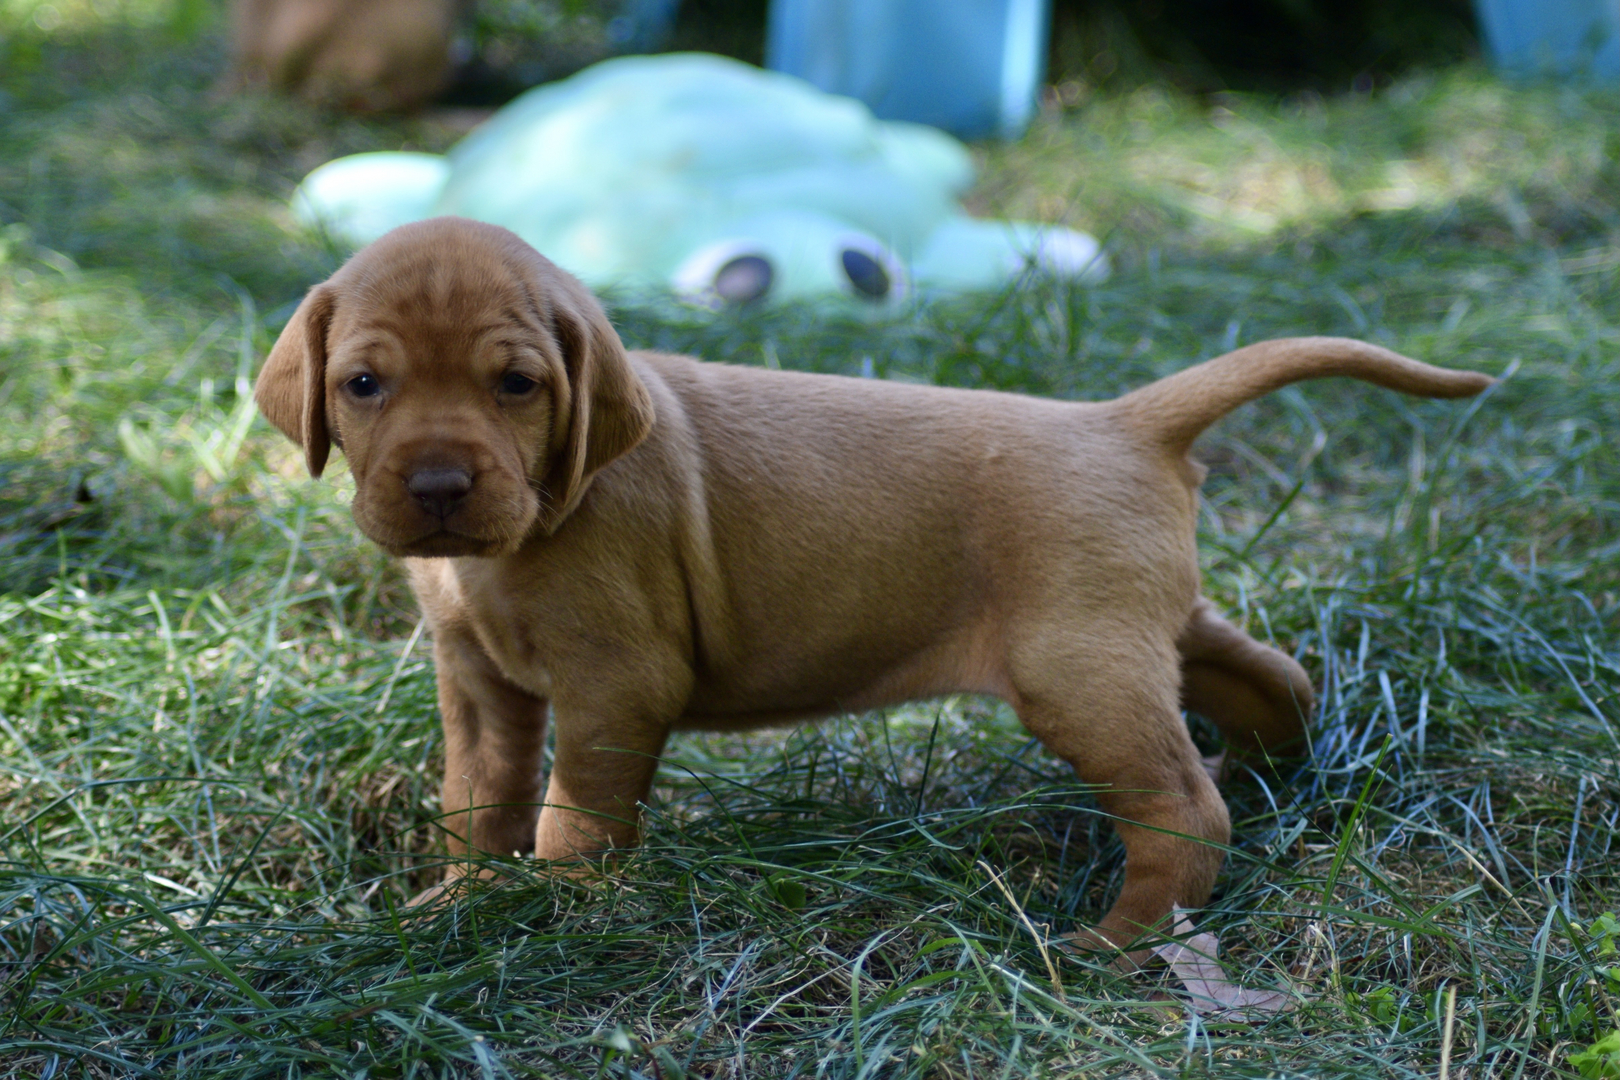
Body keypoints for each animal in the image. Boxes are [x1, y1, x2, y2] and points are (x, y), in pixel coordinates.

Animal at [255, 216, 1490, 952]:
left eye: (515, 385)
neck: (516, 538)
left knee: (1183, 809)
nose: (438, 487)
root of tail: (1124, 420)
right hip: (1154, 625)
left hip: (1075, 668)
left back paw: (1114, 941)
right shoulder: (478, 682)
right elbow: (481, 796)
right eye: (363, 384)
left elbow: (575, 815)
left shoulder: (617, 685)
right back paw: (1276, 775)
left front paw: (561, 916)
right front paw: (462, 904)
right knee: (1270, 679)